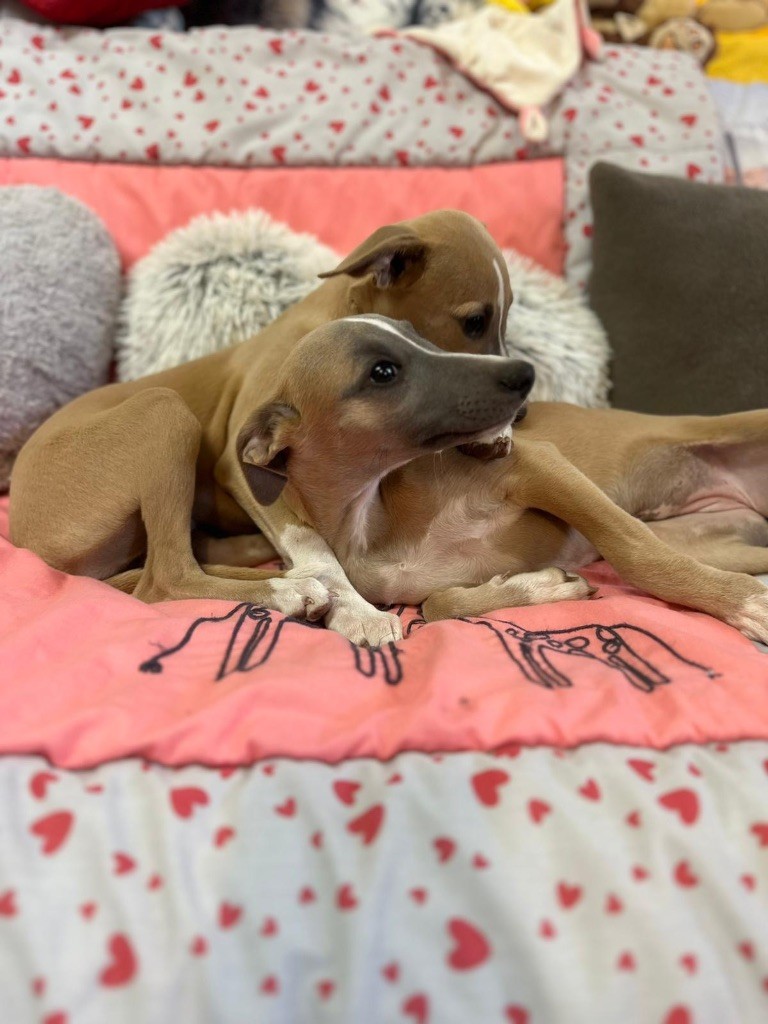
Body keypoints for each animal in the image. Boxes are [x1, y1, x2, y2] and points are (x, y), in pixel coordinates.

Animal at [10, 211, 515, 646]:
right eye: (474, 321)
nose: (519, 401)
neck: (335, 312)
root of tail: (20, 534)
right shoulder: (245, 461)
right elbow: (313, 543)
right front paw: (358, 612)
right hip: (163, 410)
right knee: (167, 576)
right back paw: (288, 590)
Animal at [230, 314, 768, 644]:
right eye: (382, 371)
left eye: (421, 337)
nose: (525, 371)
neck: (373, 512)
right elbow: (439, 604)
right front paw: (544, 587)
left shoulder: (538, 465)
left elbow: (636, 553)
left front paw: (746, 603)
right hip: (713, 543)